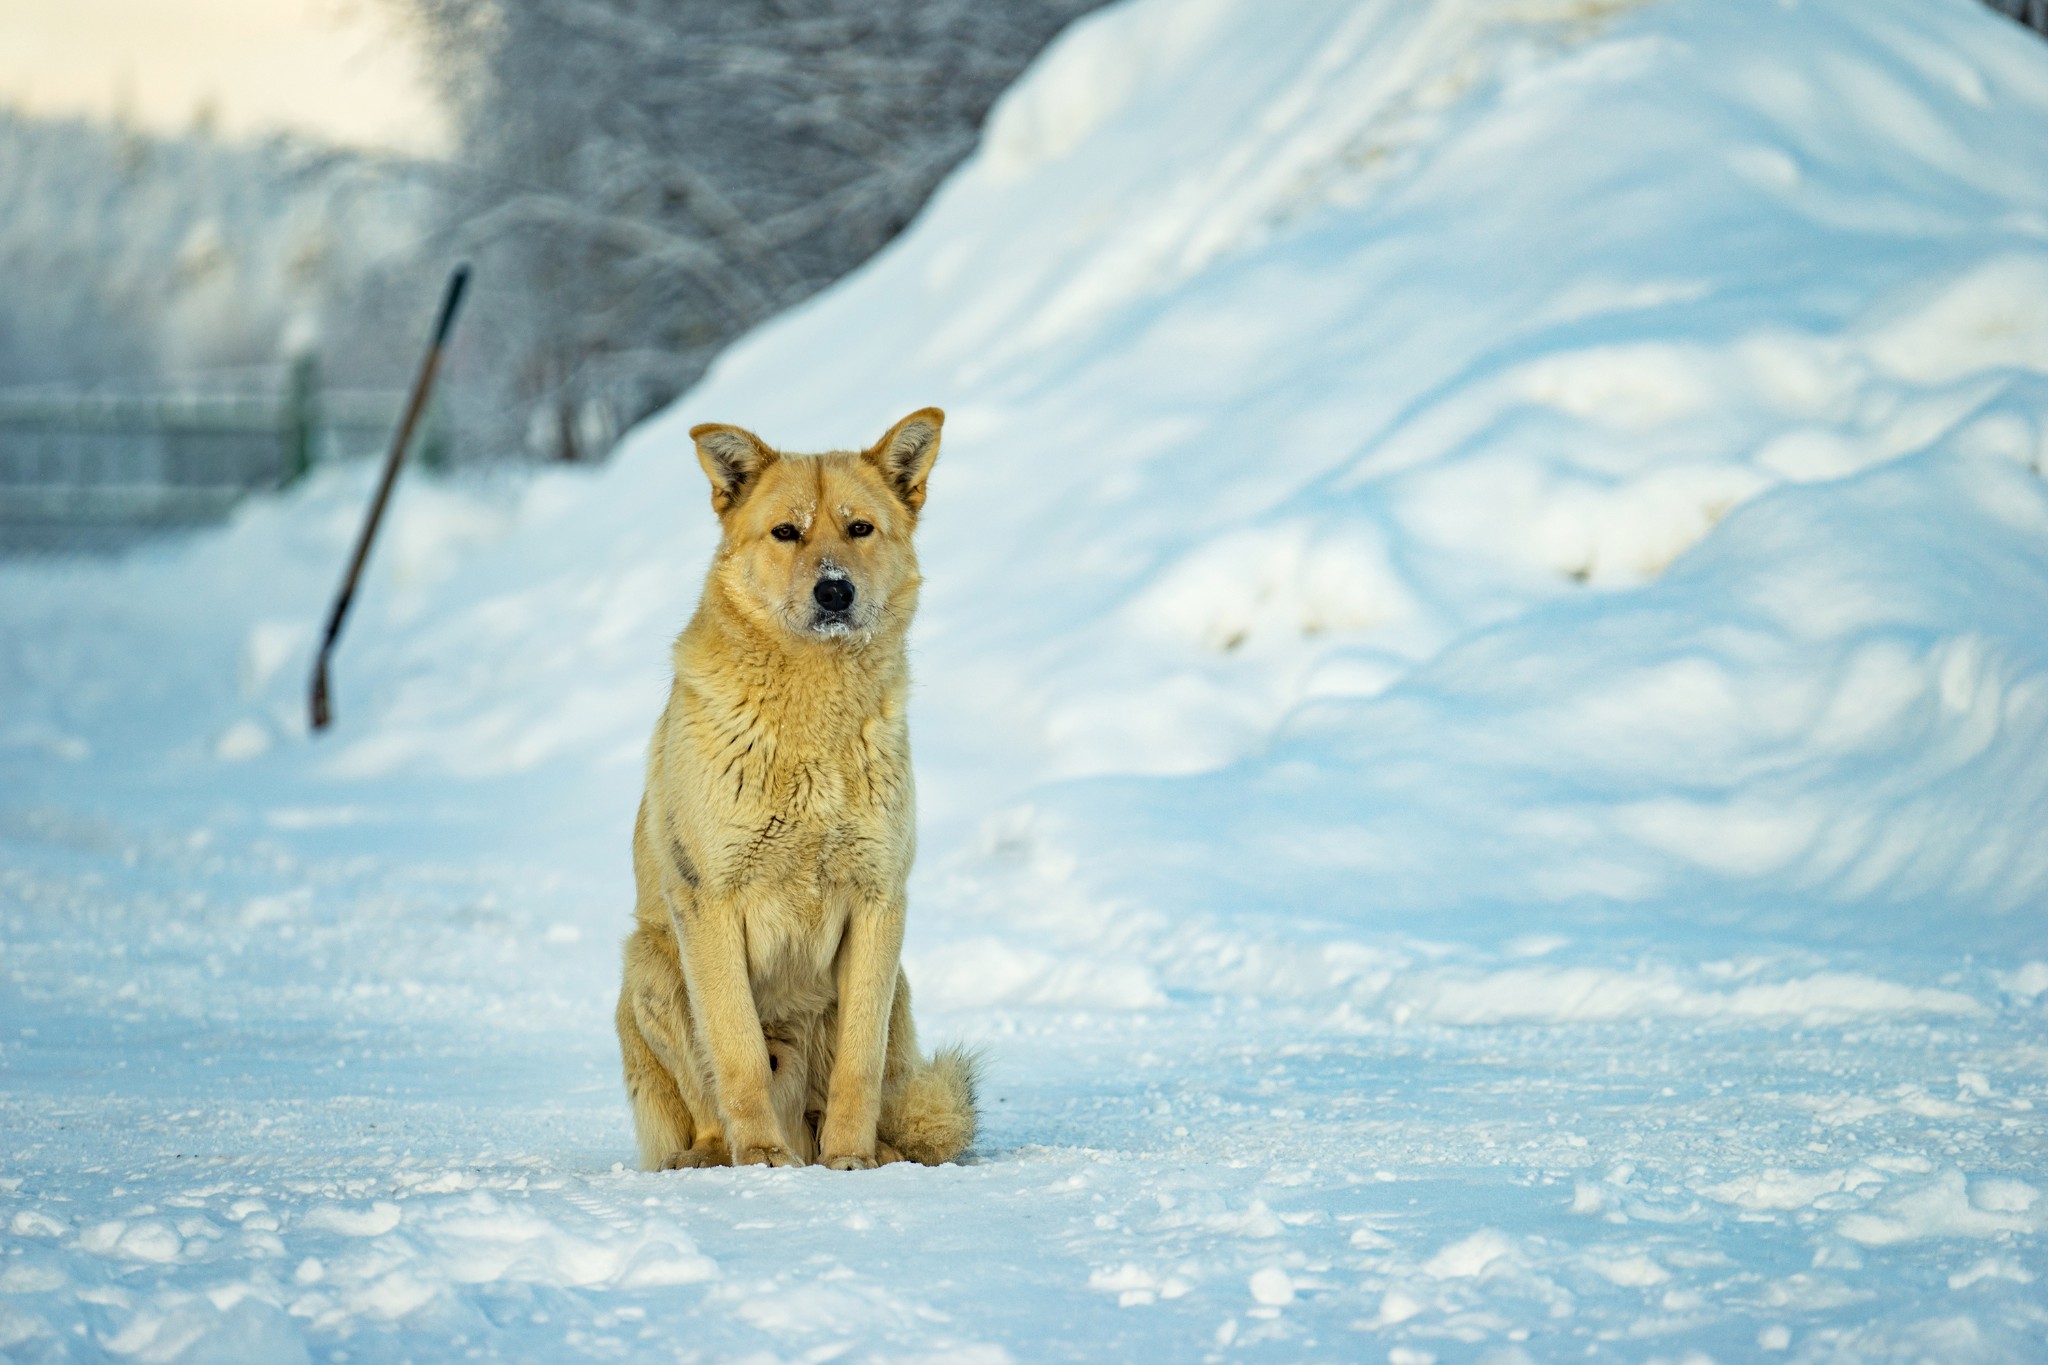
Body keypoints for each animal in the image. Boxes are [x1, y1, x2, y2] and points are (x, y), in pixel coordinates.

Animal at [610, 409, 978, 1178]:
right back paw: (716, 1154)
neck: (813, 719)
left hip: (899, 984)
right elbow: (738, 1053)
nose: (834, 590)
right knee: (705, 1098)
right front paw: (758, 1155)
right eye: (786, 532)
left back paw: (874, 1150)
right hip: (651, 962)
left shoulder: (878, 901)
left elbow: (859, 1066)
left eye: (859, 528)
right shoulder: (710, 903)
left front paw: (853, 1159)